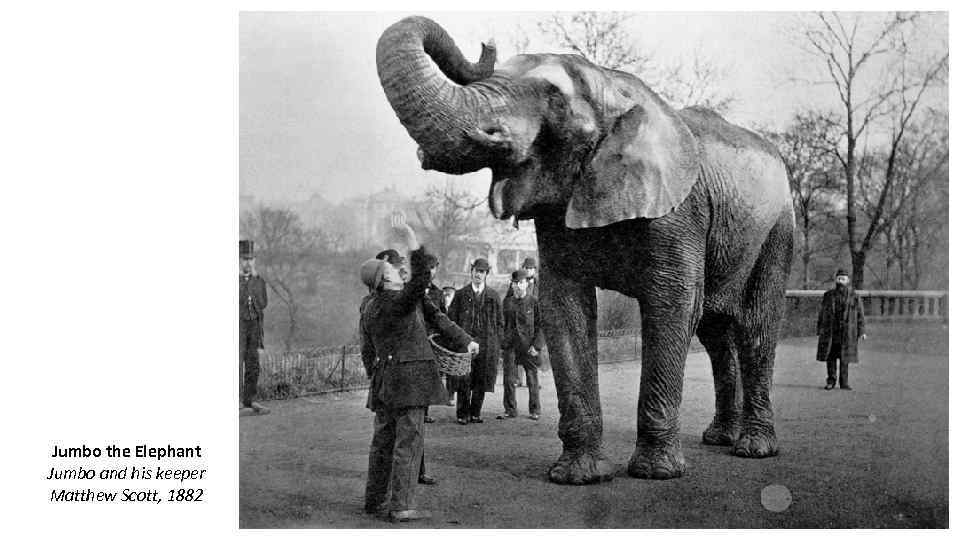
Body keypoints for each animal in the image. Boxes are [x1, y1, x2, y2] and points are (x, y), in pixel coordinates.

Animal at [376, 16, 796, 484]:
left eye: (554, 99)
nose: (486, 44)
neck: (615, 87)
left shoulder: (678, 212)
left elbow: (672, 304)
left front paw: (654, 473)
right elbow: (563, 307)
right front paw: (578, 476)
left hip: (777, 232)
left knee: (756, 326)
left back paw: (753, 448)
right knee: (716, 332)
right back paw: (718, 438)